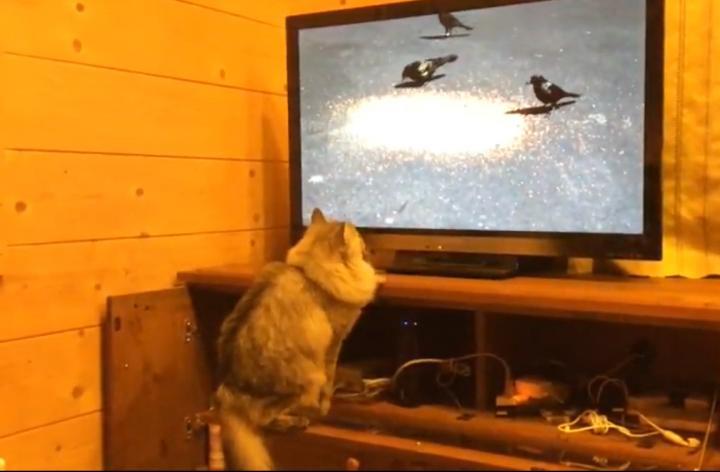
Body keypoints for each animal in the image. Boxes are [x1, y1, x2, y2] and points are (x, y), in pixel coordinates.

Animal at [215, 208, 378, 470]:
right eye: (360, 240)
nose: (369, 247)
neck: (311, 274)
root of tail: (227, 390)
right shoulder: (335, 342)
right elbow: (329, 381)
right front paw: (327, 405)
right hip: (309, 378)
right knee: (265, 419)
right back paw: (299, 420)